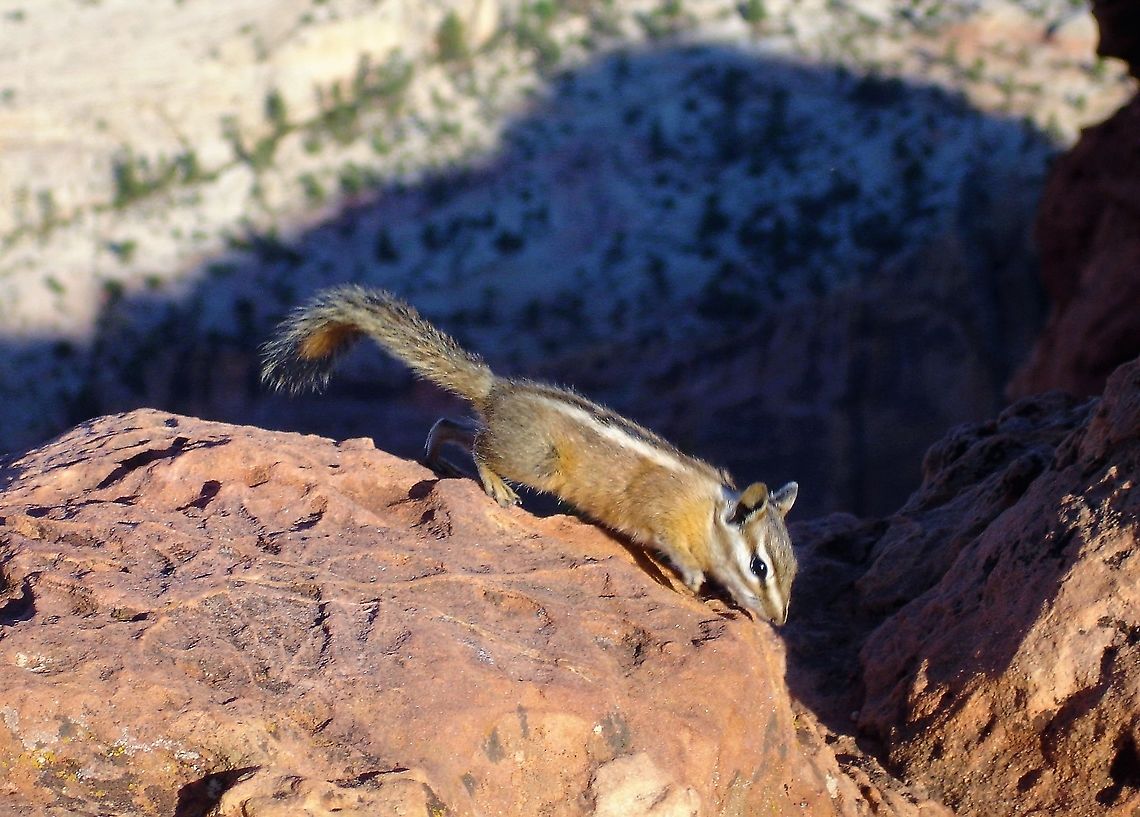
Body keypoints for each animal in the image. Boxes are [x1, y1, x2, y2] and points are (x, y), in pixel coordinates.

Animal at [261, 286, 799, 624]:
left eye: (791, 571)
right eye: (759, 567)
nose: (778, 620)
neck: (708, 510)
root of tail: (497, 389)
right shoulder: (662, 512)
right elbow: (670, 543)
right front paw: (691, 578)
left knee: (453, 425)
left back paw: (439, 456)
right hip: (538, 460)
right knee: (481, 446)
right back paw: (496, 487)